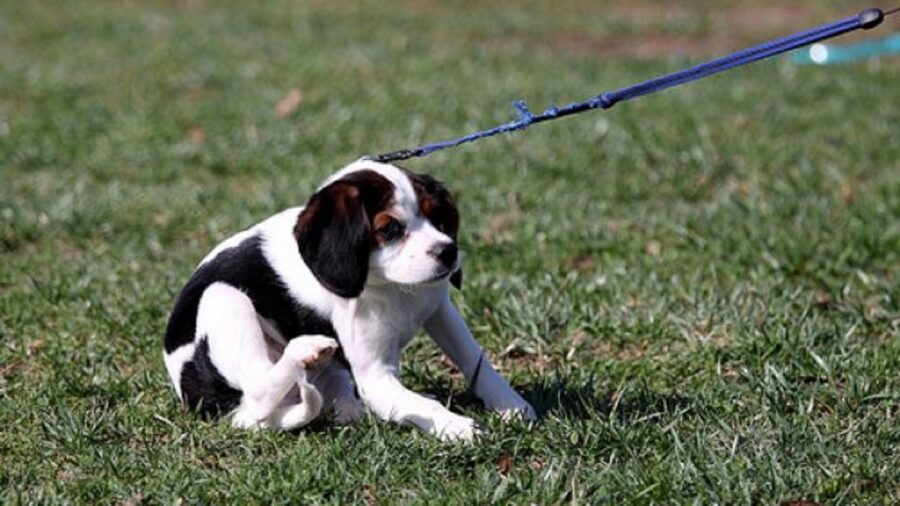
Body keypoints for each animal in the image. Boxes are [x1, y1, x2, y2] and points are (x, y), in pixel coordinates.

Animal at [163, 160, 536, 440]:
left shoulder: (439, 309)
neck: (392, 288)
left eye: (438, 218)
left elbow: (476, 360)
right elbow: (423, 404)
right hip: (223, 297)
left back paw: (347, 406)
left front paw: (511, 405)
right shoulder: (376, 378)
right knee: (258, 389)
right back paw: (304, 351)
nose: (448, 251)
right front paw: (459, 427)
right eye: (390, 229)